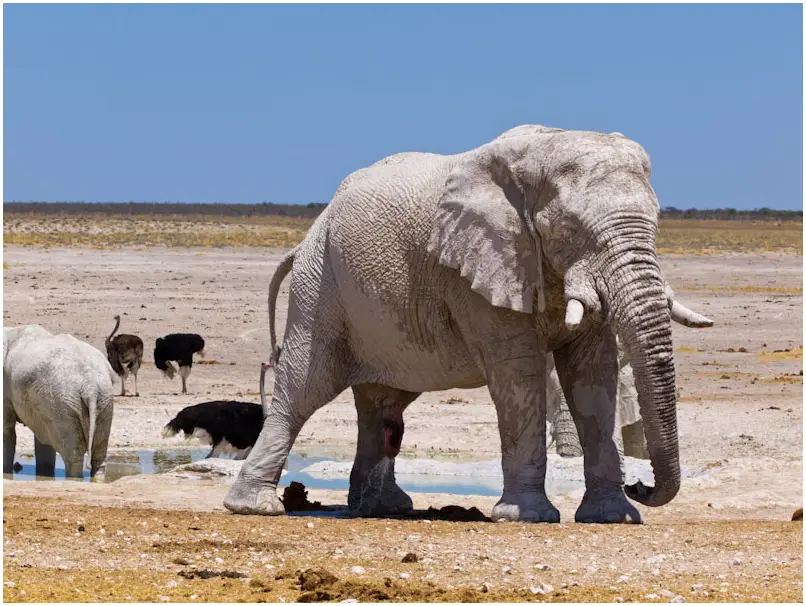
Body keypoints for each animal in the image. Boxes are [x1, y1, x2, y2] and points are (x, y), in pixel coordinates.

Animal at [3, 324, 116, 479]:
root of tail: (90, 385)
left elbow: (7, 431)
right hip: (103, 400)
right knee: (99, 451)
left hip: (62, 406)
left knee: (73, 454)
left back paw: (74, 479)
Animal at [226, 124, 691, 523]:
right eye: (569, 227)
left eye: (657, 221)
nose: (640, 485)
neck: (541, 151)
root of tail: (306, 237)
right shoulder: (476, 268)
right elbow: (518, 373)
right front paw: (527, 516)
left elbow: (594, 375)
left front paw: (613, 516)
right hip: (320, 287)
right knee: (305, 388)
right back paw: (254, 506)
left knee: (384, 403)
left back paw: (383, 508)